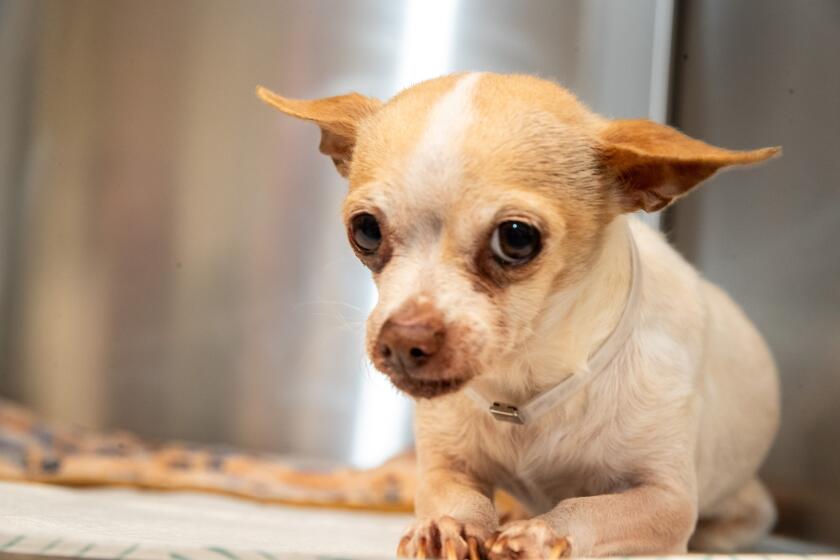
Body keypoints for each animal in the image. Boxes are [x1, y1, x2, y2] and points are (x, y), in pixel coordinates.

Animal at [258, 72, 780, 556]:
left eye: (516, 238)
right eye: (365, 230)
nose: (404, 340)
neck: (525, 385)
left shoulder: (666, 498)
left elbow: (586, 508)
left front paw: (541, 534)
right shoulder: (444, 466)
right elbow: (456, 498)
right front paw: (448, 526)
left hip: (746, 506)